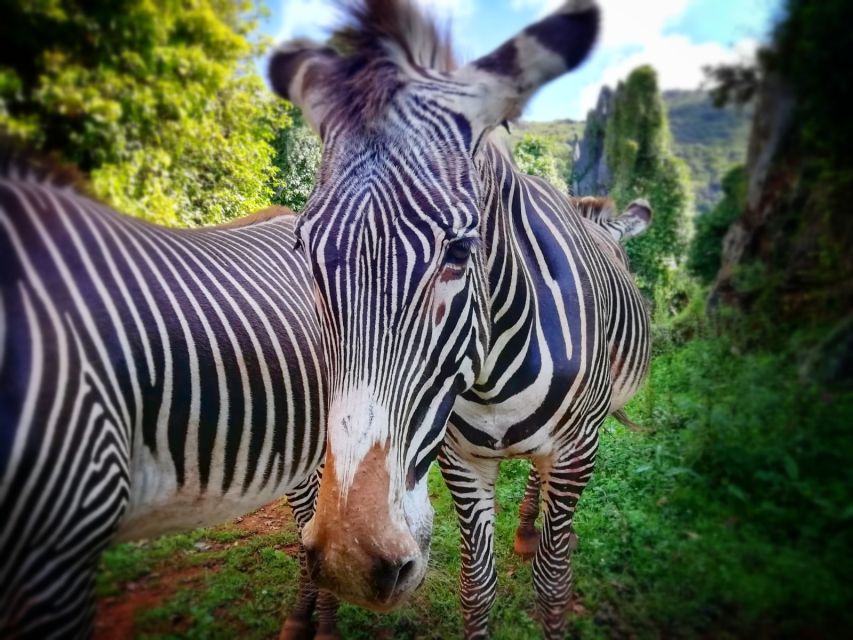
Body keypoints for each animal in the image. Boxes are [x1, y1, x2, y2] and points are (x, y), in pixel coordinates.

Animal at [272, 0, 652, 636]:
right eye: (303, 249)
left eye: (460, 251)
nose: (349, 560)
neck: (492, 375)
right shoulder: (462, 460)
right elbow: (478, 588)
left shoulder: (576, 450)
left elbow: (552, 584)